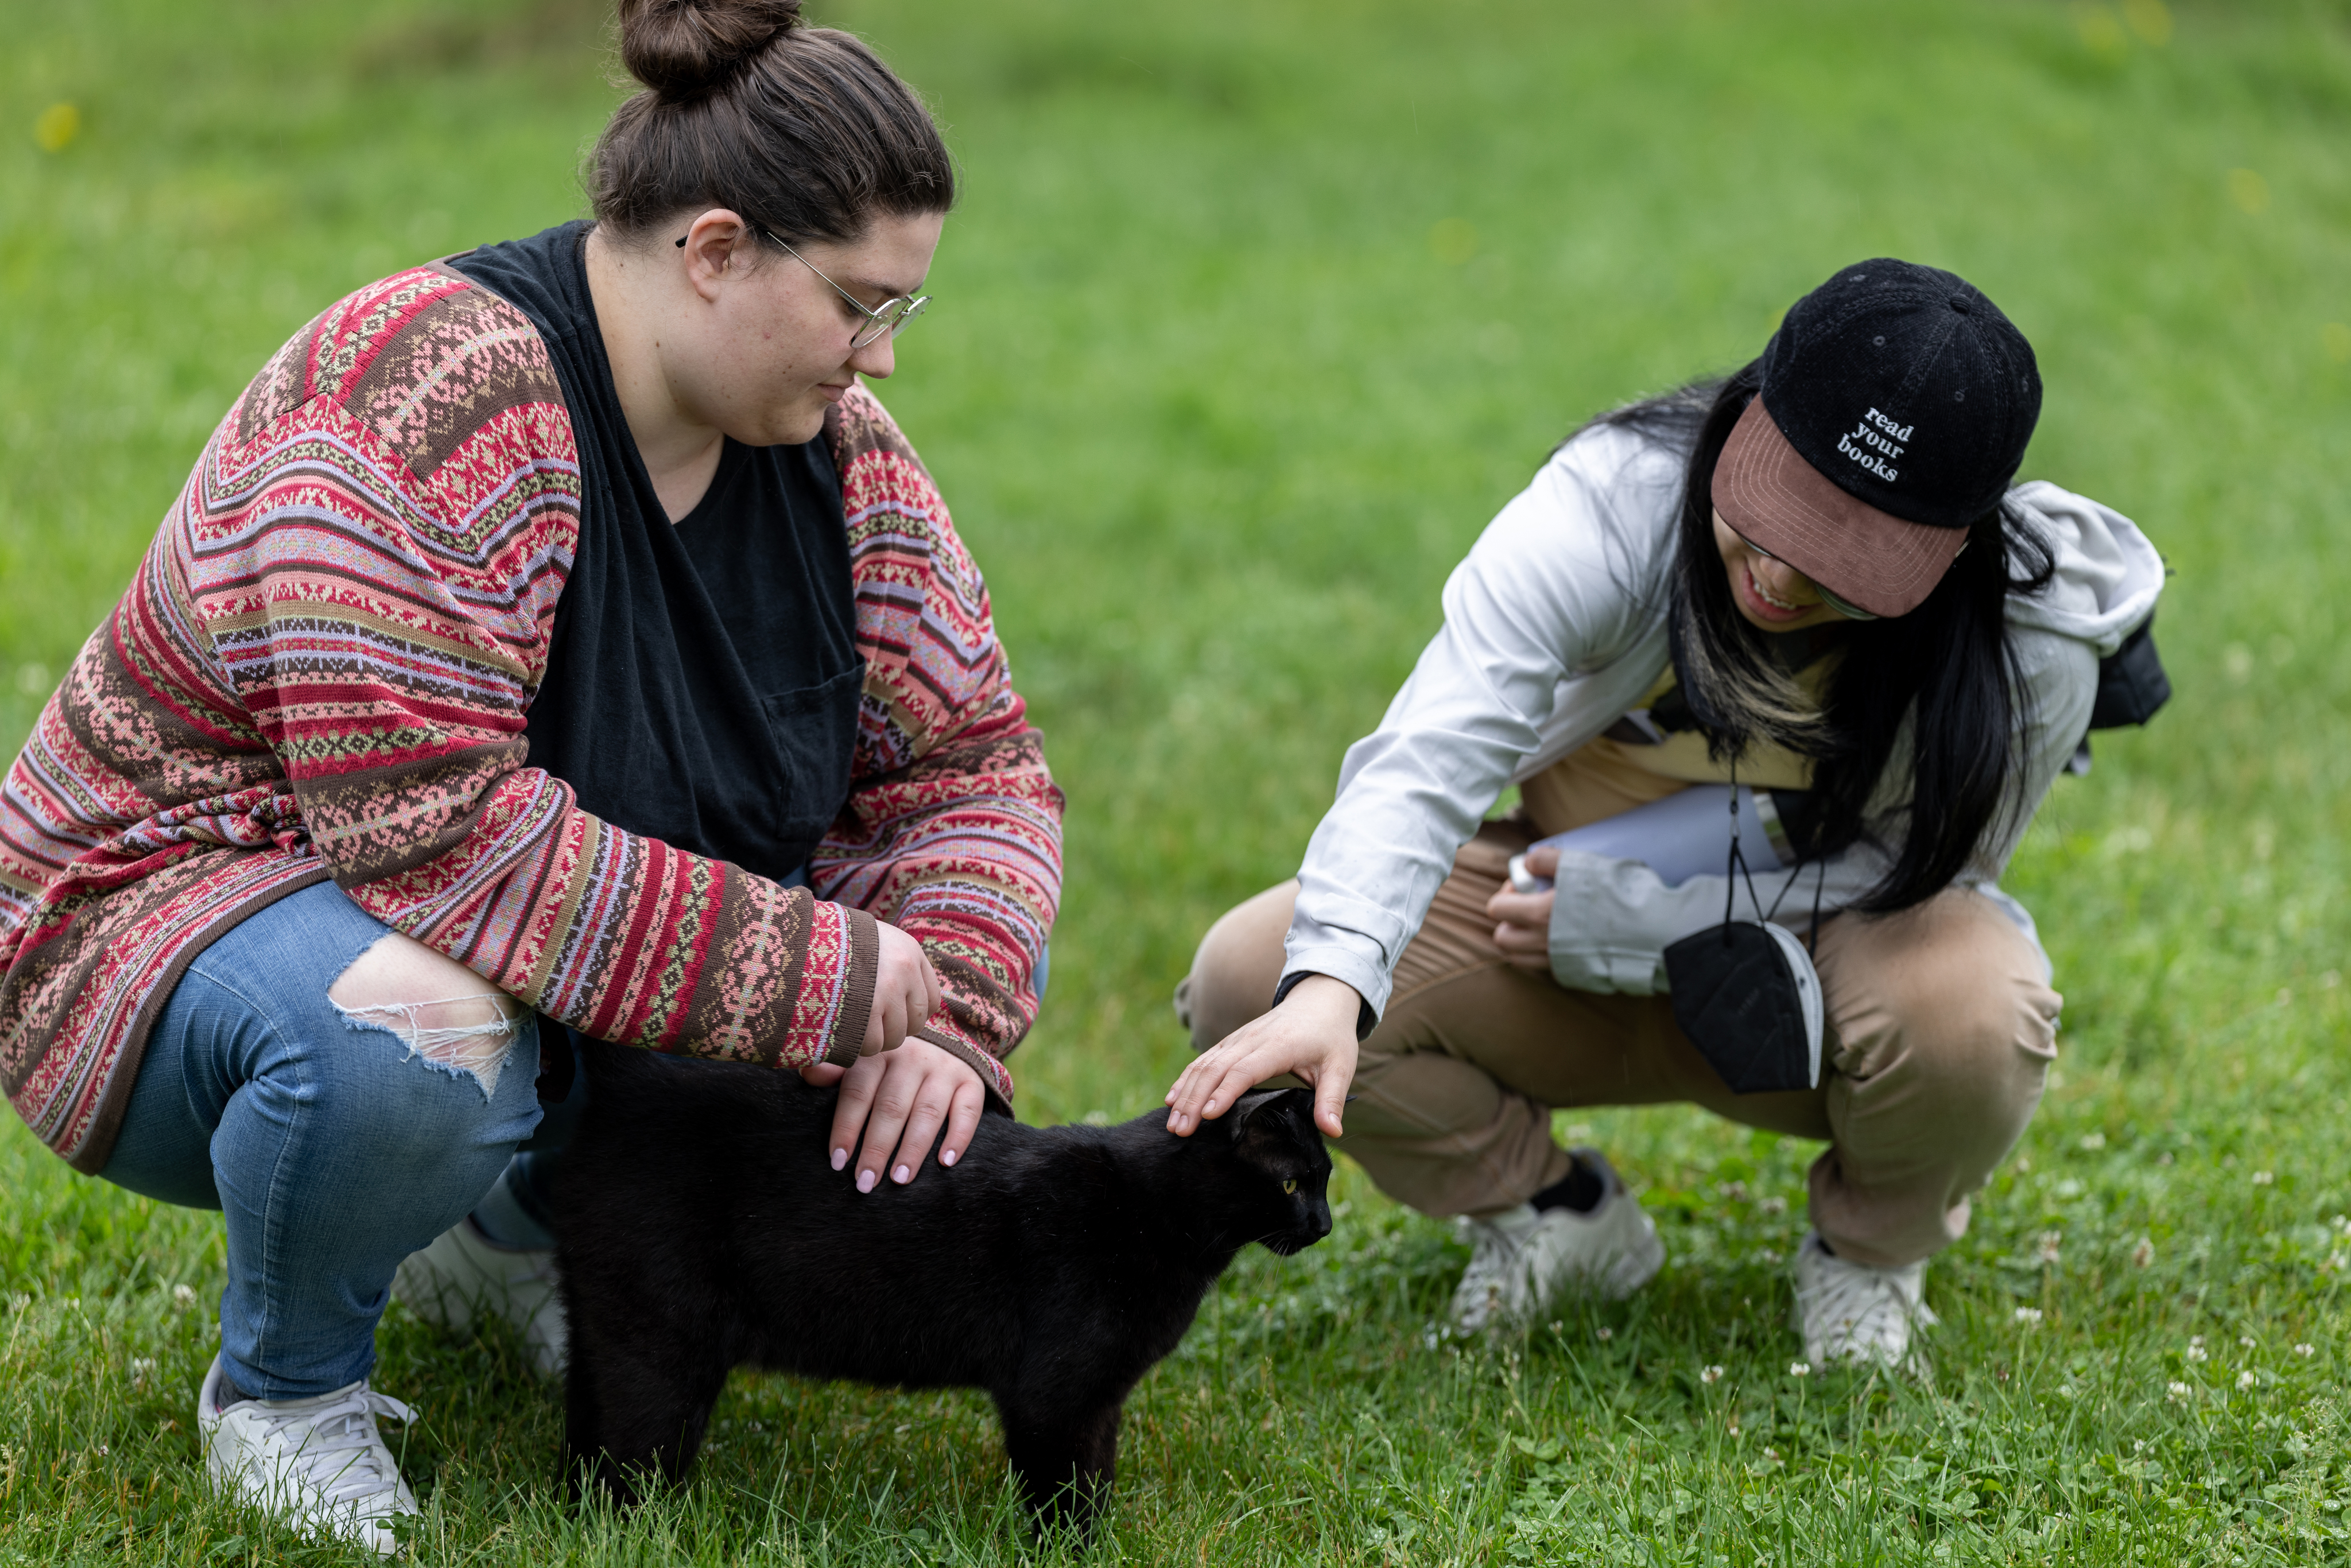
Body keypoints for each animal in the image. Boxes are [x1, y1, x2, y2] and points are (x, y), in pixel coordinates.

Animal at [541, 1043, 1335, 1532]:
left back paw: (577, 1517)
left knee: (588, 1434)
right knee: (634, 1458)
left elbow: (1098, 1477)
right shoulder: (1057, 1396)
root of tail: (631, 1081)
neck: (1151, 1211)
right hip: (664, 1344)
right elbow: (1066, 1491)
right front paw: (1072, 1549)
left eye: (1324, 1178)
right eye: (1290, 1184)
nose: (1324, 1223)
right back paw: (635, 1530)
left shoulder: (1100, 1400)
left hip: (605, 1322)